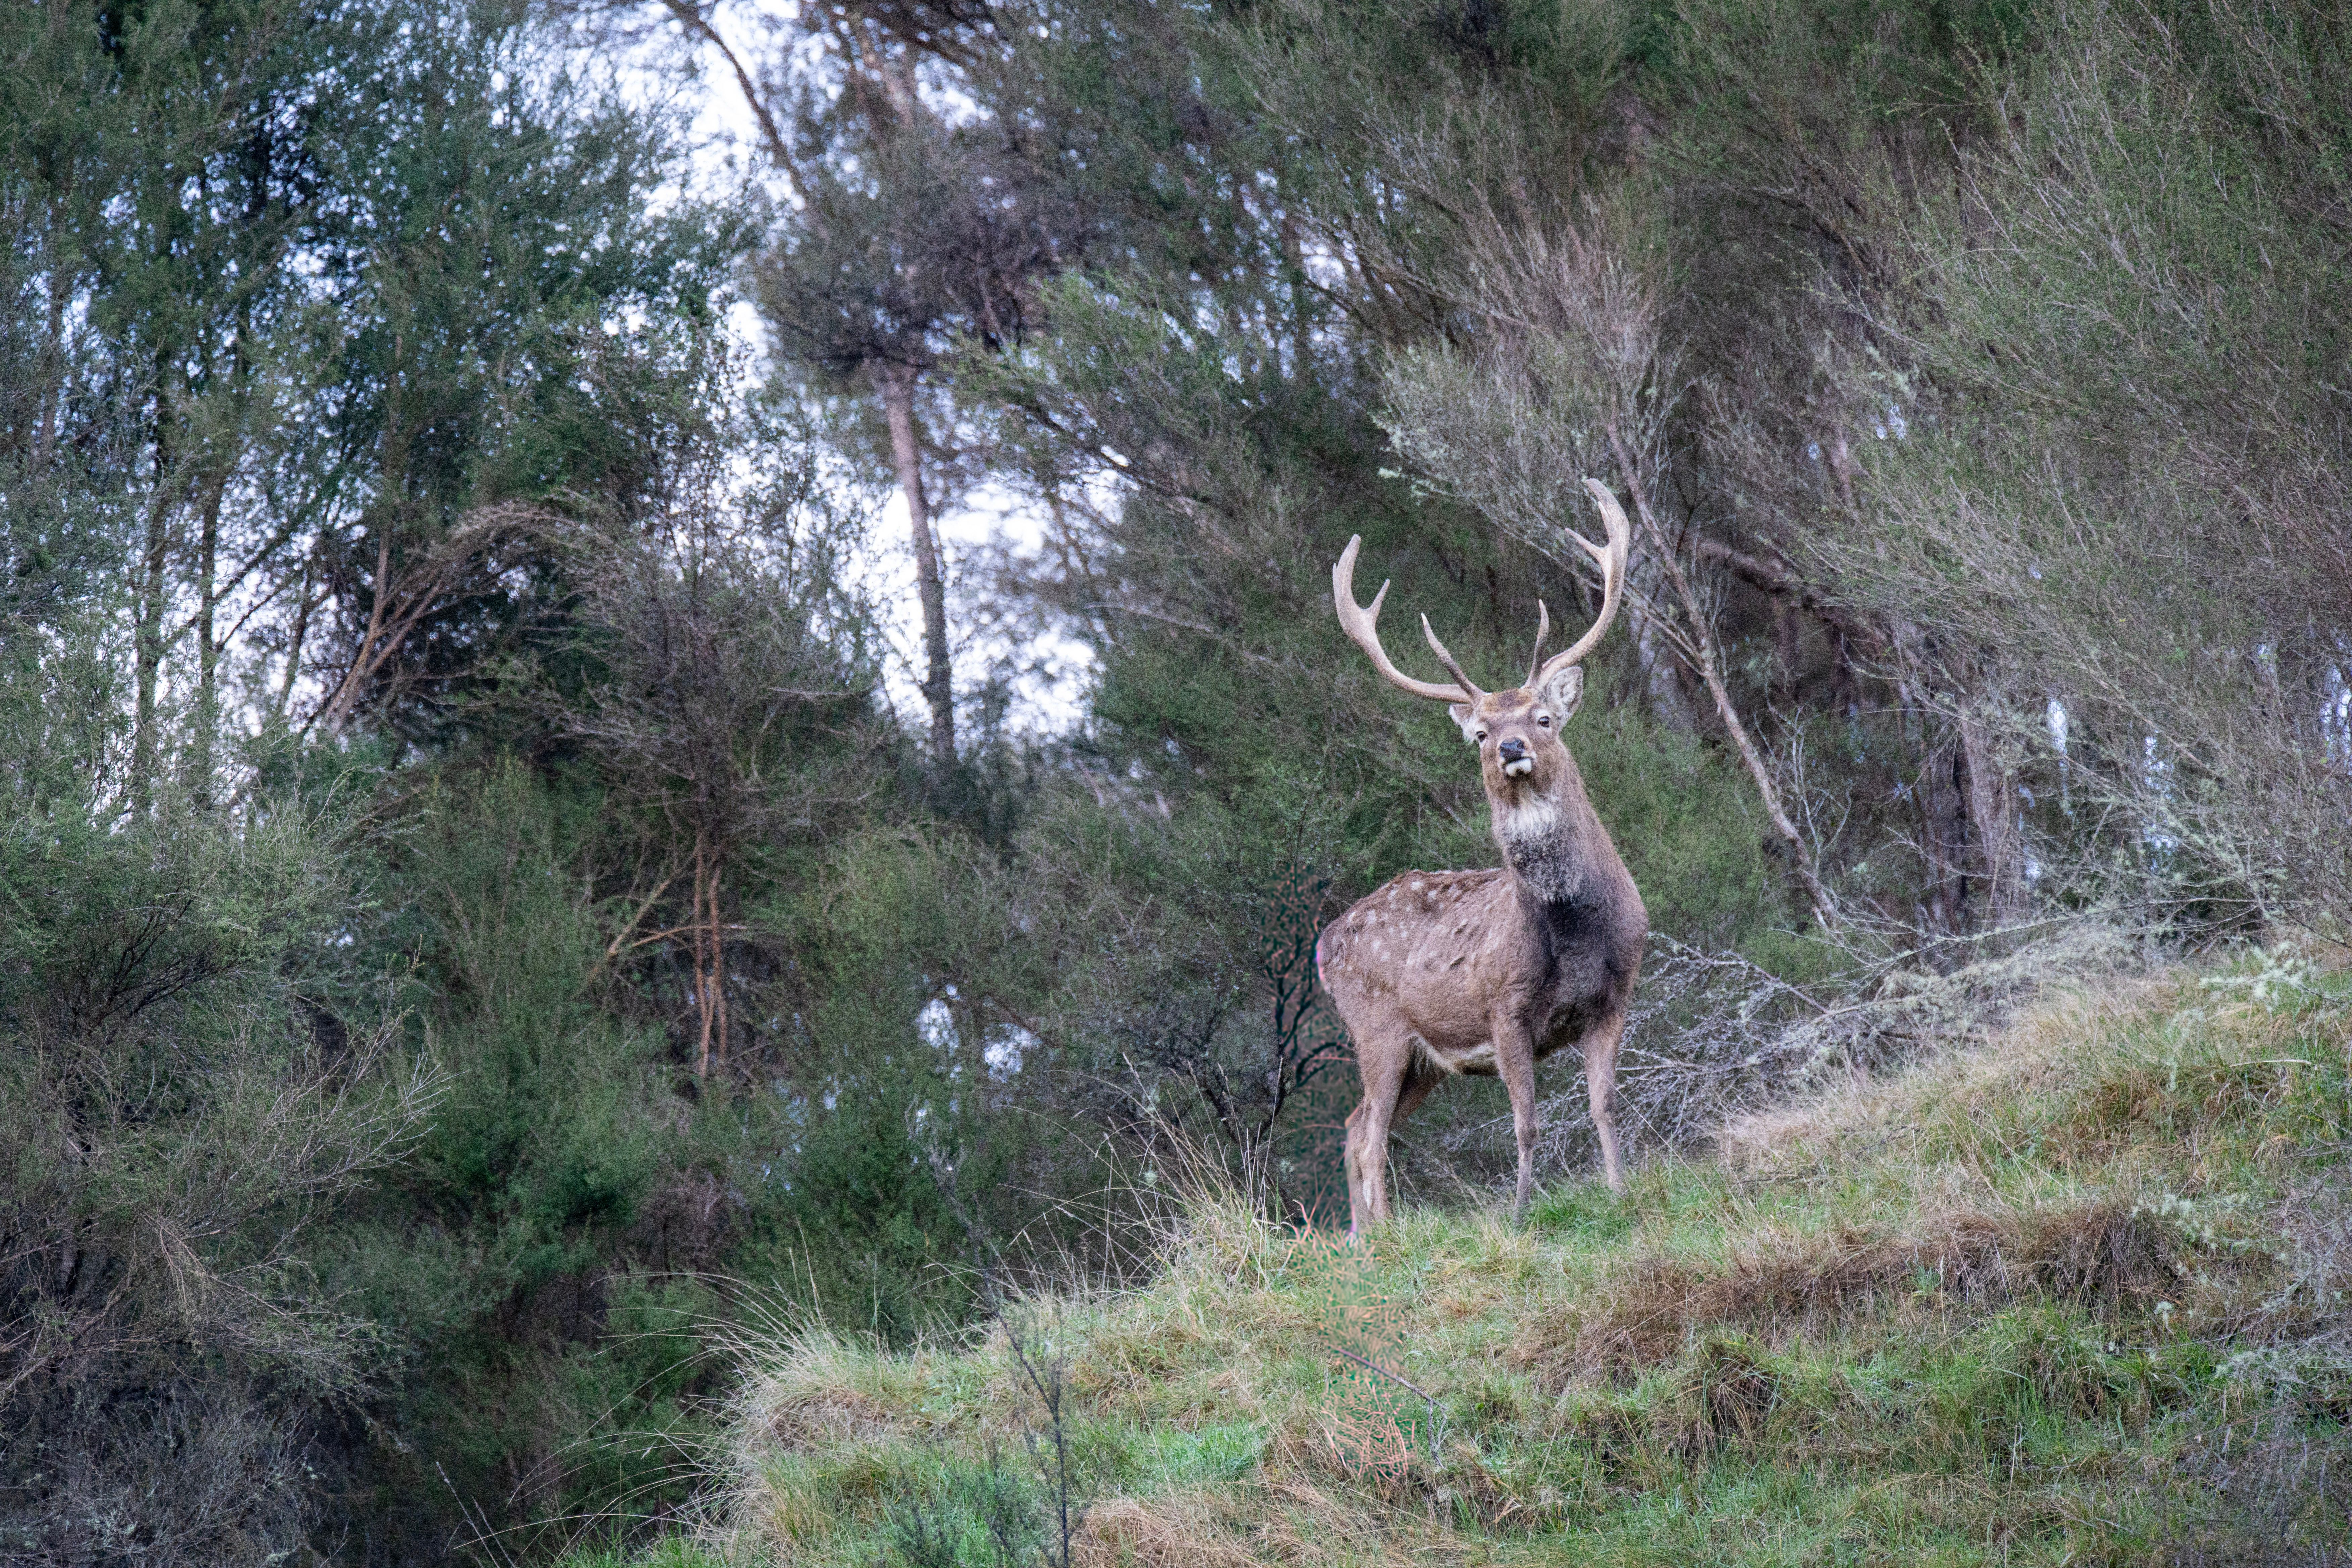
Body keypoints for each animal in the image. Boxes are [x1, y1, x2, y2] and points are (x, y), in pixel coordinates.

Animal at [1316, 478, 1646, 1234]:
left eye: (1544, 717)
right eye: (1481, 732)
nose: (1512, 748)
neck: (1574, 933)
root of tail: (1321, 946)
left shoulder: (1615, 995)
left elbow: (1604, 1105)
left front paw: (1621, 1193)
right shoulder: (1505, 1008)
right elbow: (1525, 1122)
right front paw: (1522, 1215)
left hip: (1424, 1061)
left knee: (1354, 1127)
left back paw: (1363, 1236)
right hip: (1375, 1026)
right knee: (1368, 1135)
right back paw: (1383, 1238)